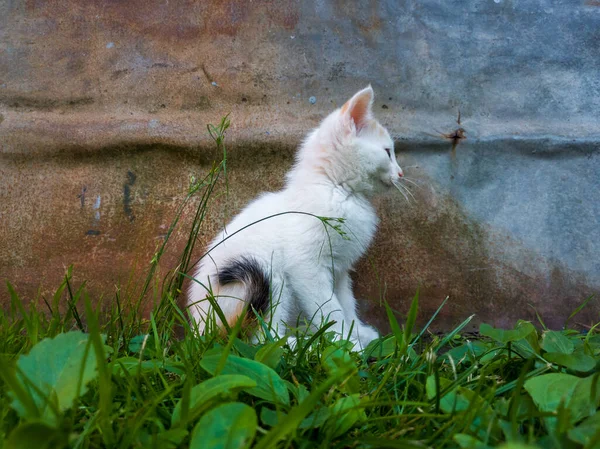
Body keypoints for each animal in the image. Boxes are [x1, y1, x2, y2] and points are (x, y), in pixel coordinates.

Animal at [188, 86, 404, 346]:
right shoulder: (307, 265)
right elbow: (328, 307)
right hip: (269, 275)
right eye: (388, 153)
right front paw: (344, 341)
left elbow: (346, 301)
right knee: (261, 339)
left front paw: (357, 331)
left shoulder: (340, 269)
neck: (336, 189)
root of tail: (200, 332)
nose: (401, 173)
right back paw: (302, 345)